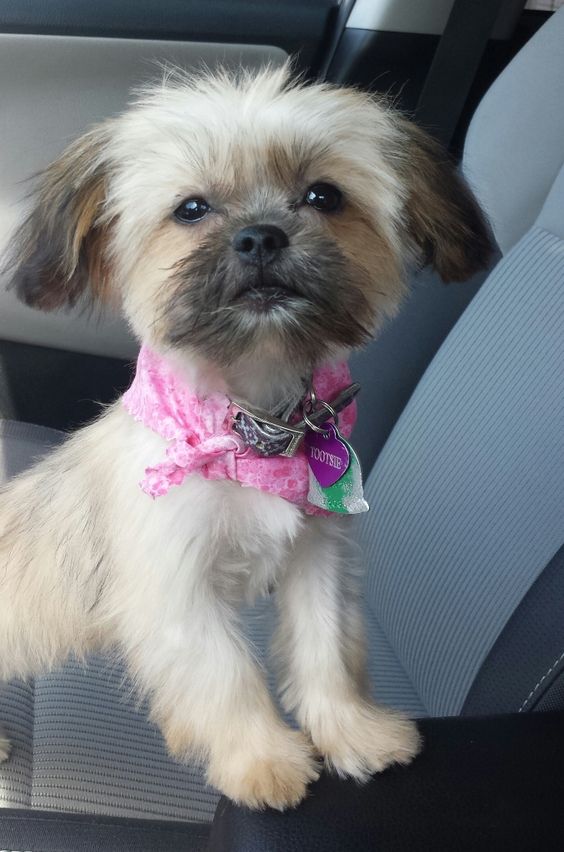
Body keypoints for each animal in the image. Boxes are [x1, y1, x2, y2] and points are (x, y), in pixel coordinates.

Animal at [0, 63, 494, 808]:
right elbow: (225, 672)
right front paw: (262, 759)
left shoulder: (318, 556)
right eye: (191, 209)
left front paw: (352, 732)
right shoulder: (175, 586)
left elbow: (325, 649)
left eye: (324, 195)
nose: (261, 236)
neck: (254, 432)